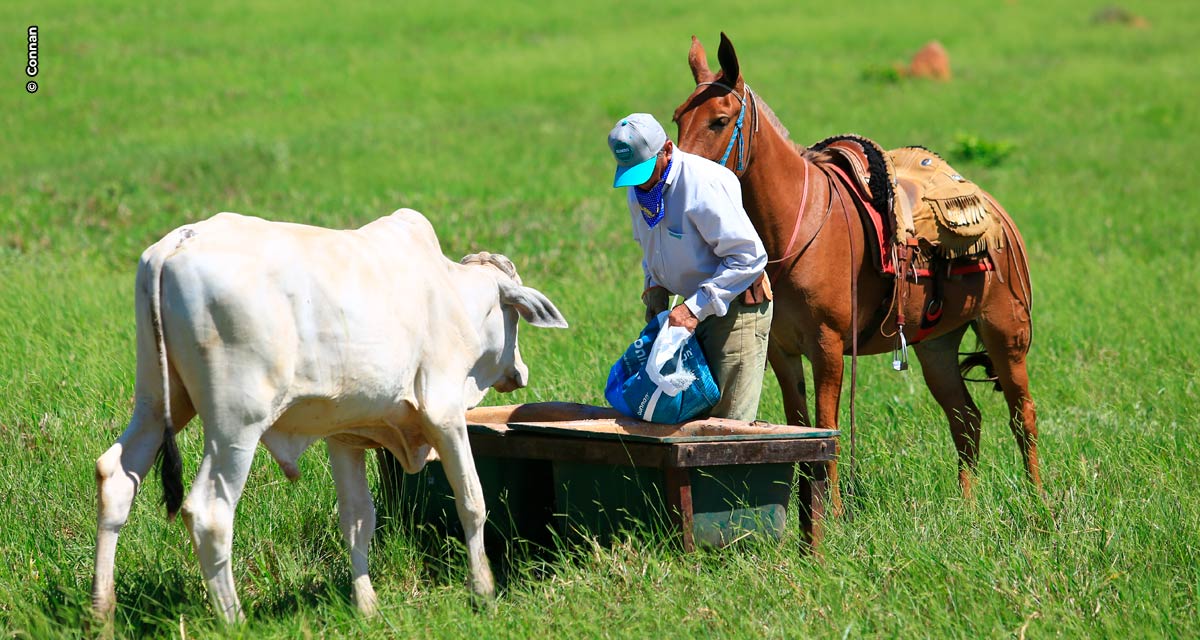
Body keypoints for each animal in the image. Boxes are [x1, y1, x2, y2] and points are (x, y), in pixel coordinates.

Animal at [91, 208, 568, 619]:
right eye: (515, 319)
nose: (519, 371)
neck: (453, 295)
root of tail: (179, 240)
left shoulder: (346, 437)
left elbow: (357, 521)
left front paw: (367, 607)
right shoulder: (444, 414)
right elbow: (471, 501)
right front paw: (483, 590)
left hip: (157, 402)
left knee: (116, 478)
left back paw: (102, 612)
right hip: (236, 425)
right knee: (209, 512)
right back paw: (234, 618)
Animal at [676, 33, 1041, 499]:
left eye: (719, 121)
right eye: (677, 118)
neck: (797, 222)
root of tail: (997, 213)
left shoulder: (828, 347)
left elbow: (826, 430)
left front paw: (829, 510)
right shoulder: (782, 351)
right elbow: (799, 429)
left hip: (1004, 332)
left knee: (1022, 416)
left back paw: (1040, 502)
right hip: (937, 345)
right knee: (966, 419)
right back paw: (968, 505)